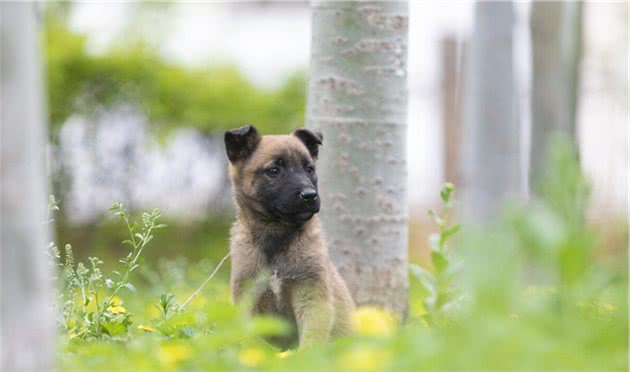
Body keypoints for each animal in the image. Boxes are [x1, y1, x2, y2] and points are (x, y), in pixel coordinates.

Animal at [226, 125, 356, 348]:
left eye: (309, 169)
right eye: (274, 170)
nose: (310, 195)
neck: (276, 234)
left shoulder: (312, 297)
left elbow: (311, 341)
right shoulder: (250, 298)